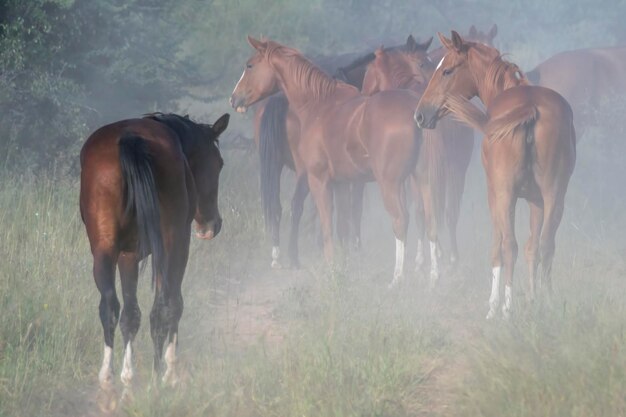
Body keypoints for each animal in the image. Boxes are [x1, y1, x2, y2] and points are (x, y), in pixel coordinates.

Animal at [79, 112, 228, 392]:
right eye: (219, 163)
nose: (212, 225)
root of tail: (130, 138)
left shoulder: (127, 256)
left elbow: (130, 314)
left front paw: (129, 372)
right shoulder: (177, 247)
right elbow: (173, 303)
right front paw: (169, 369)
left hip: (104, 250)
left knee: (110, 307)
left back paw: (109, 376)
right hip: (170, 244)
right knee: (162, 307)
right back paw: (160, 374)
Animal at [232, 37, 422, 284]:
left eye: (250, 65)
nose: (234, 97)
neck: (319, 105)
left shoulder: (320, 180)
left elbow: (328, 225)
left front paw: (333, 266)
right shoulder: (341, 183)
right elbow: (342, 225)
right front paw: (345, 263)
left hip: (389, 183)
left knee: (401, 219)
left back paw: (398, 277)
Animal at [414, 31, 576, 318]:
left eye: (446, 70)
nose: (420, 115)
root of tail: (531, 108)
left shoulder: (495, 195)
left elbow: (497, 248)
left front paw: (494, 305)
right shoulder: (536, 201)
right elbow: (533, 247)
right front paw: (533, 298)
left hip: (505, 195)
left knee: (509, 246)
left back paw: (506, 309)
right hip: (554, 194)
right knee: (546, 244)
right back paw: (548, 302)